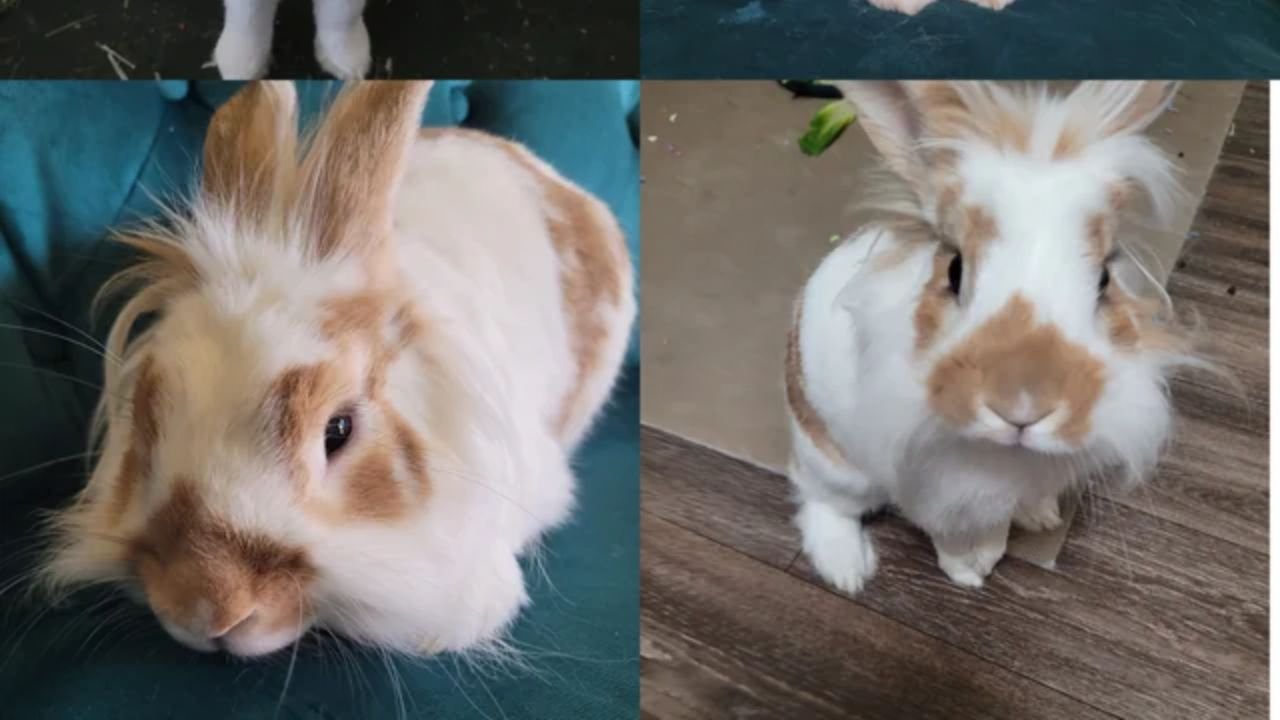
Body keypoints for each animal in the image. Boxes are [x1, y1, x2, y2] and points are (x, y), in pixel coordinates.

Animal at [786, 81, 1201, 594]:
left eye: (1105, 279)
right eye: (955, 270)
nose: (1022, 407)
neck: (1006, 456)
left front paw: (1004, 540)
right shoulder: (932, 489)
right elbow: (950, 534)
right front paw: (968, 573)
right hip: (834, 464)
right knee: (819, 498)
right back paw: (847, 570)